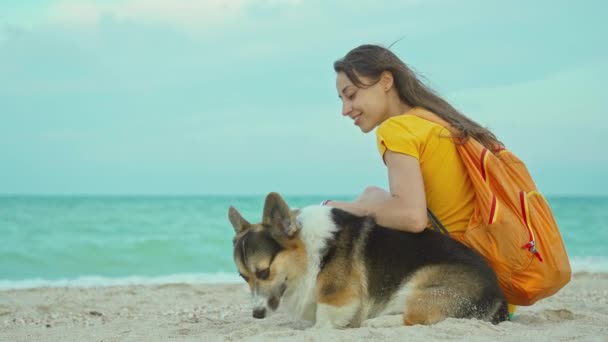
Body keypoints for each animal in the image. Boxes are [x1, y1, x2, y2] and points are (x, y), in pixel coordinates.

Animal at [228, 192, 508, 328]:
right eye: (243, 276)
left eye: (264, 272)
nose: (256, 315)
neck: (309, 252)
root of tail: (499, 295)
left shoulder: (338, 301)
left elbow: (322, 323)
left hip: (417, 286)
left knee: (415, 318)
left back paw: (378, 322)